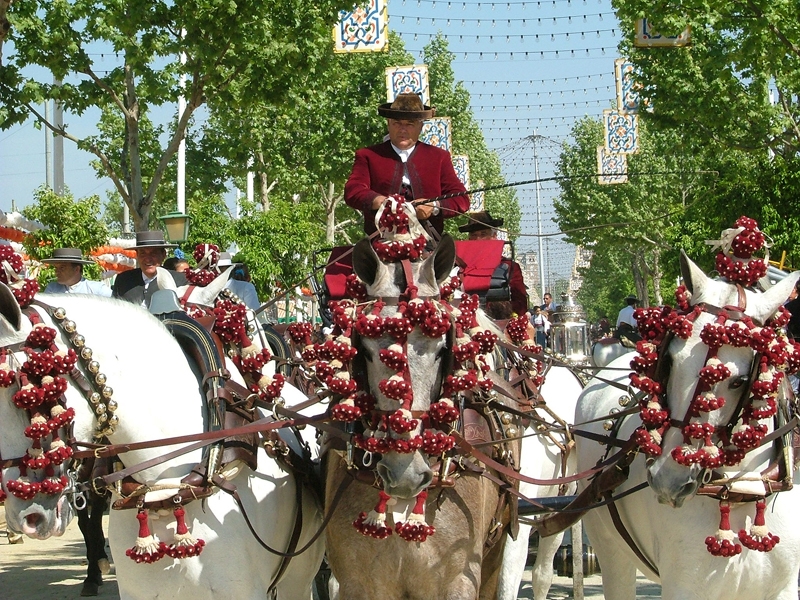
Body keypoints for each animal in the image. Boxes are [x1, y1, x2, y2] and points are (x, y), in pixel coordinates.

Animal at [580, 253, 800, 600]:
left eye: (739, 380)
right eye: (670, 361)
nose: (668, 480)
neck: (742, 491)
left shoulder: (784, 587)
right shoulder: (683, 586)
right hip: (611, 550)